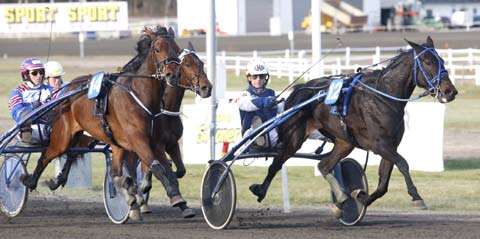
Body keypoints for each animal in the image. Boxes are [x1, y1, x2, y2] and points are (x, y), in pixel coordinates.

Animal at [20, 26, 191, 220]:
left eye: (177, 51)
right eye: (157, 49)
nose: (172, 74)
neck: (141, 96)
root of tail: (68, 89)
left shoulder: (155, 142)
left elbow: (167, 169)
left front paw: (179, 202)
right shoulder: (139, 140)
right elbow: (158, 167)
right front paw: (174, 198)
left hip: (105, 141)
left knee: (89, 161)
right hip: (63, 136)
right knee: (46, 155)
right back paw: (30, 180)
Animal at [249, 36, 460, 218]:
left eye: (441, 60)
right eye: (427, 61)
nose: (450, 91)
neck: (383, 96)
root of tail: (300, 89)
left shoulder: (390, 145)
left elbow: (383, 184)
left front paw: (361, 198)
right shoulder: (380, 145)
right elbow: (403, 164)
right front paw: (417, 197)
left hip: (344, 142)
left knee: (324, 165)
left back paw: (341, 198)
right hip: (295, 137)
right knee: (277, 163)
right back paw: (260, 189)